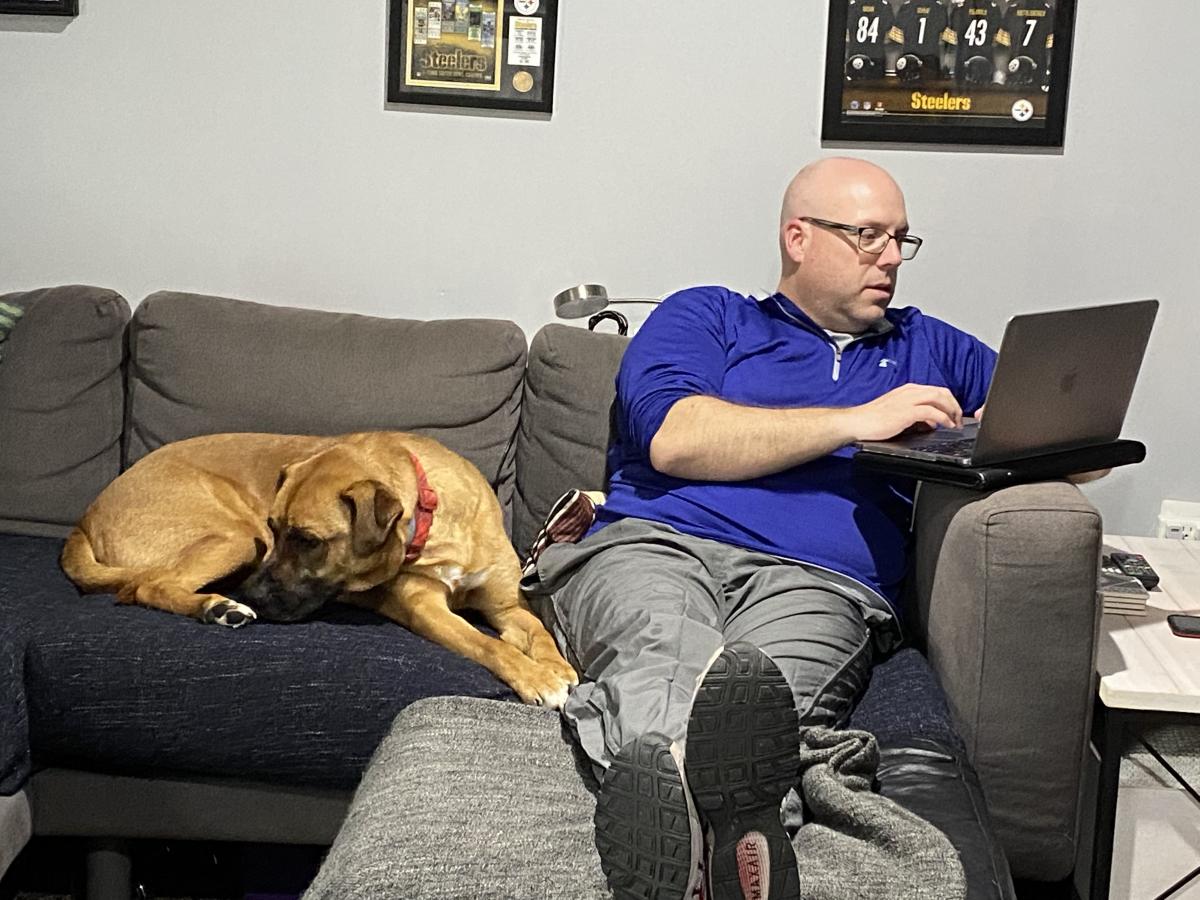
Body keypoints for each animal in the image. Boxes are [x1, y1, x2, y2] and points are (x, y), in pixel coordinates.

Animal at [63, 434, 578, 710]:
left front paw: (558, 666)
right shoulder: (425, 608)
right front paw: (536, 678)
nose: (252, 593)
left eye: (308, 541)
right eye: (275, 527)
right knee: (146, 587)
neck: (431, 517)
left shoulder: (508, 604)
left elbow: (537, 633)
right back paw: (218, 606)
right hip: (237, 537)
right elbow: (489, 646)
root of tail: (84, 520)